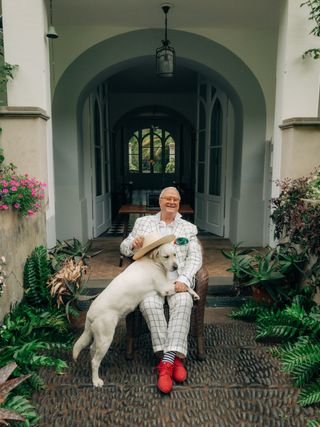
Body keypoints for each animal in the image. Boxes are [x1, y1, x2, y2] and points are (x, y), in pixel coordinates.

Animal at [72, 234, 199, 388]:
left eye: (175, 254)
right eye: (166, 256)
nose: (176, 267)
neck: (152, 261)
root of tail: (90, 313)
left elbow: (181, 284)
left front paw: (193, 293)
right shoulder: (164, 288)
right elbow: (184, 286)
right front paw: (193, 292)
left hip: (98, 336)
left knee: (91, 350)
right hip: (105, 338)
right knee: (95, 361)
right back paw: (96, 381)